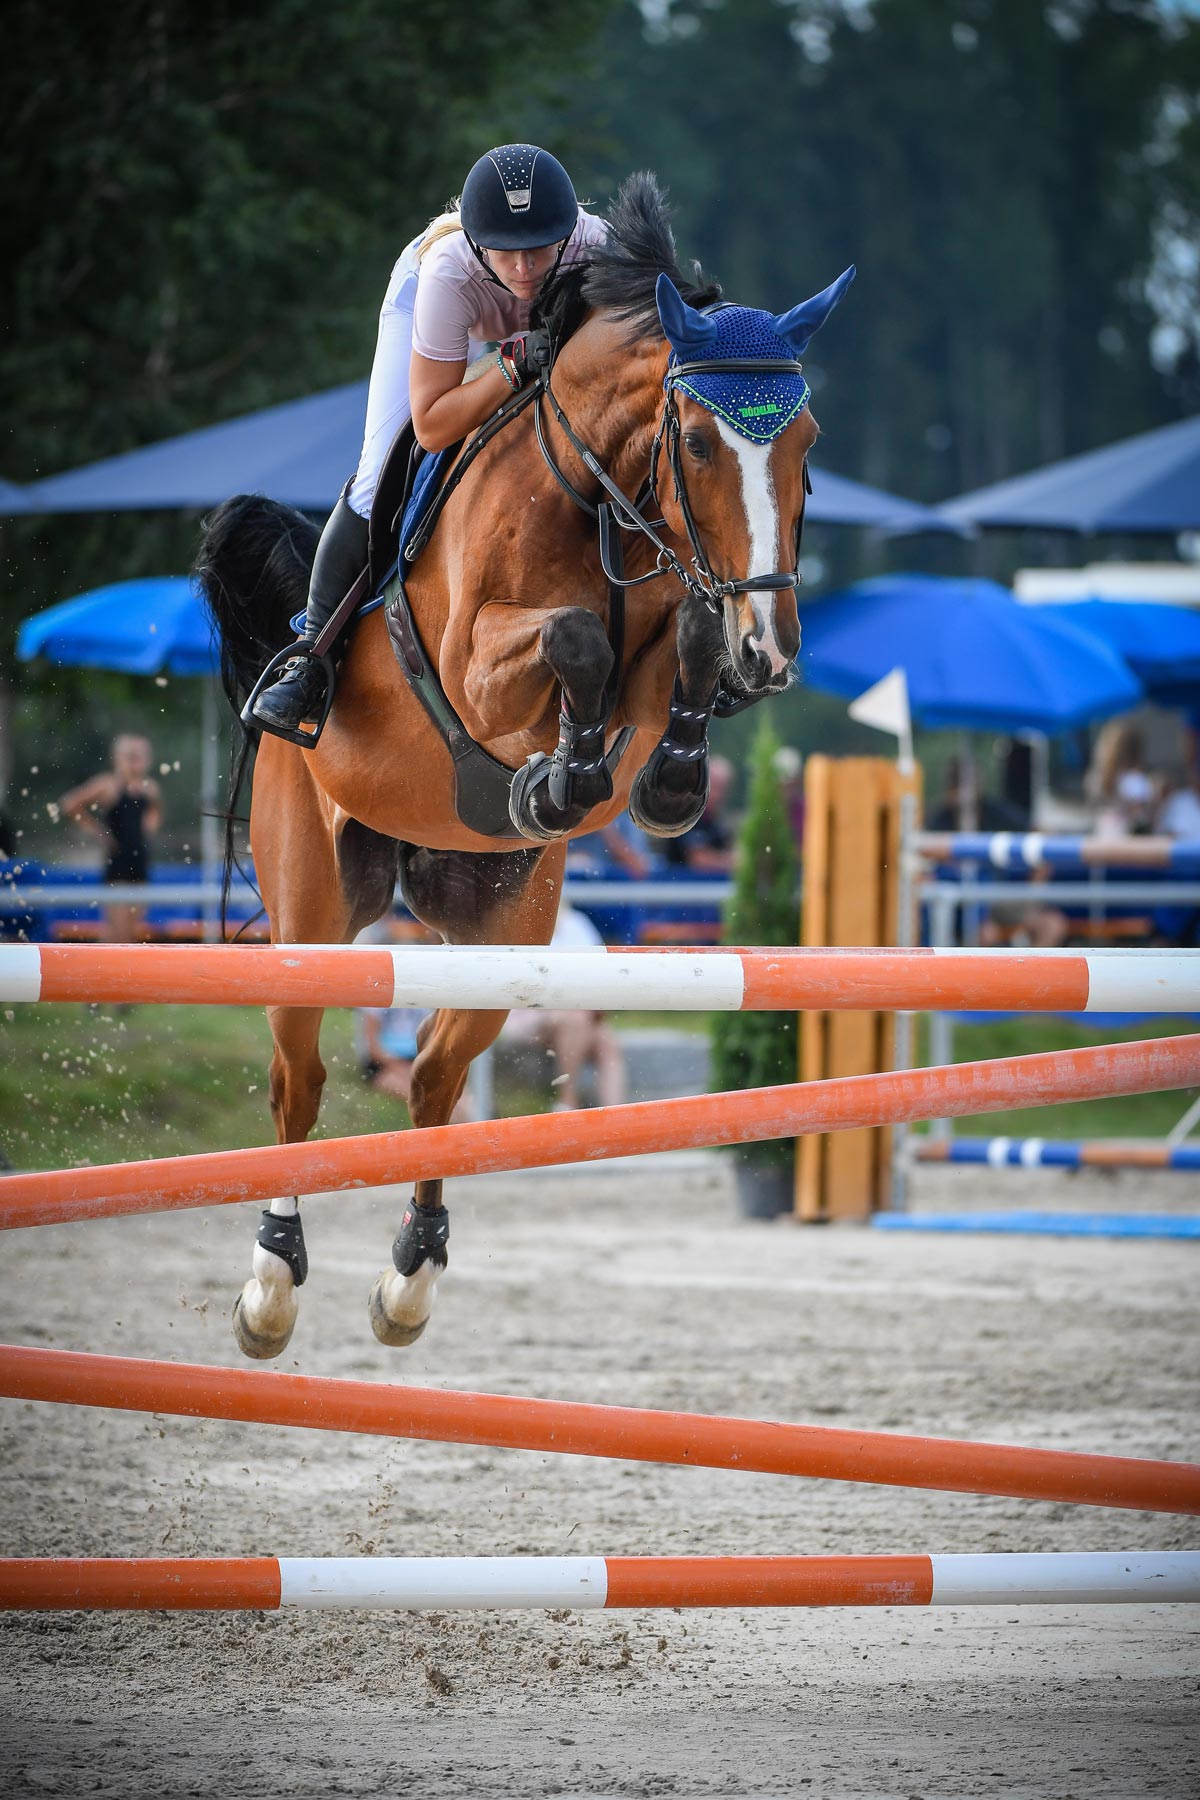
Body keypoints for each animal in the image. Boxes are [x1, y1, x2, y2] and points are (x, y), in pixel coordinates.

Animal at [197, 175, 852, 1353]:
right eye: (695, 441)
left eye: (808, 440)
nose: (773, 653)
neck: (600, 496)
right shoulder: (476, 665)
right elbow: (574, 640)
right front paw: (563, 776)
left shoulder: (664, 639)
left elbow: (676, 647)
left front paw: (650, 778)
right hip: (312, 902)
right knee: (299, 1078)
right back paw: (271, 1285)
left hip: (502, 925)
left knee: (434, 1075)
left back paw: (411, 1278)